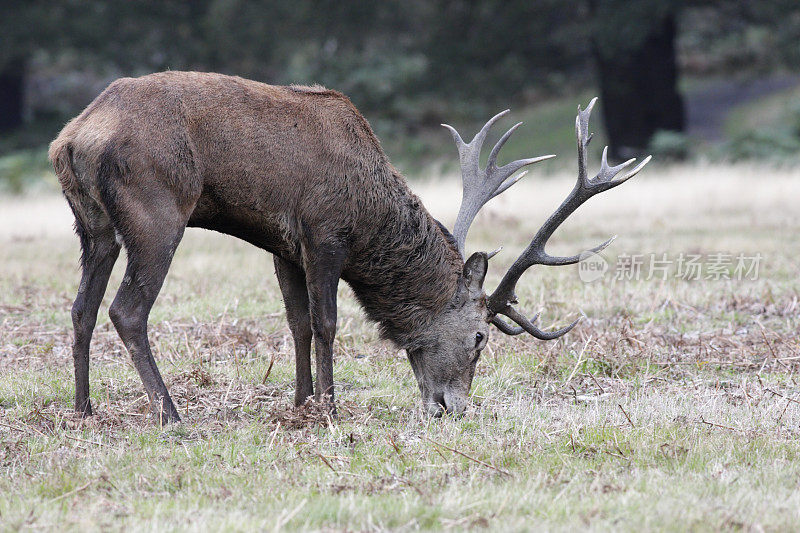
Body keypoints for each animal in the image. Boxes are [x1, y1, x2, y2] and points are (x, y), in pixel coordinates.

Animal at [48, 70, 648, 420]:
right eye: (480, 338)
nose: (453, 406)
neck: (369, 213)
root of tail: (73, 137)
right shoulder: (324, 233)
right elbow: (327, 323)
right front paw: (330, 407)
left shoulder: (282, 245)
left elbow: (296, 322)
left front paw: (299, 402)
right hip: (157, 210)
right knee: (126, 310)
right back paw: (170, 413)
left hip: (92, 226)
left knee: (81, 308)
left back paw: (83, 409)